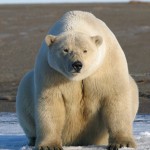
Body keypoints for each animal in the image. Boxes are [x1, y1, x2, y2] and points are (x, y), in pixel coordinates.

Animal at [16, 10, 138, 150]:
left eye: (85, 50)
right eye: (65, 50)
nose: (77, 64)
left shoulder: (107, 66)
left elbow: (116, 98)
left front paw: (123, 143)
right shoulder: (51, 71)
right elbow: (51, 103)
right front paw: (49, 145)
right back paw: (32, 141)